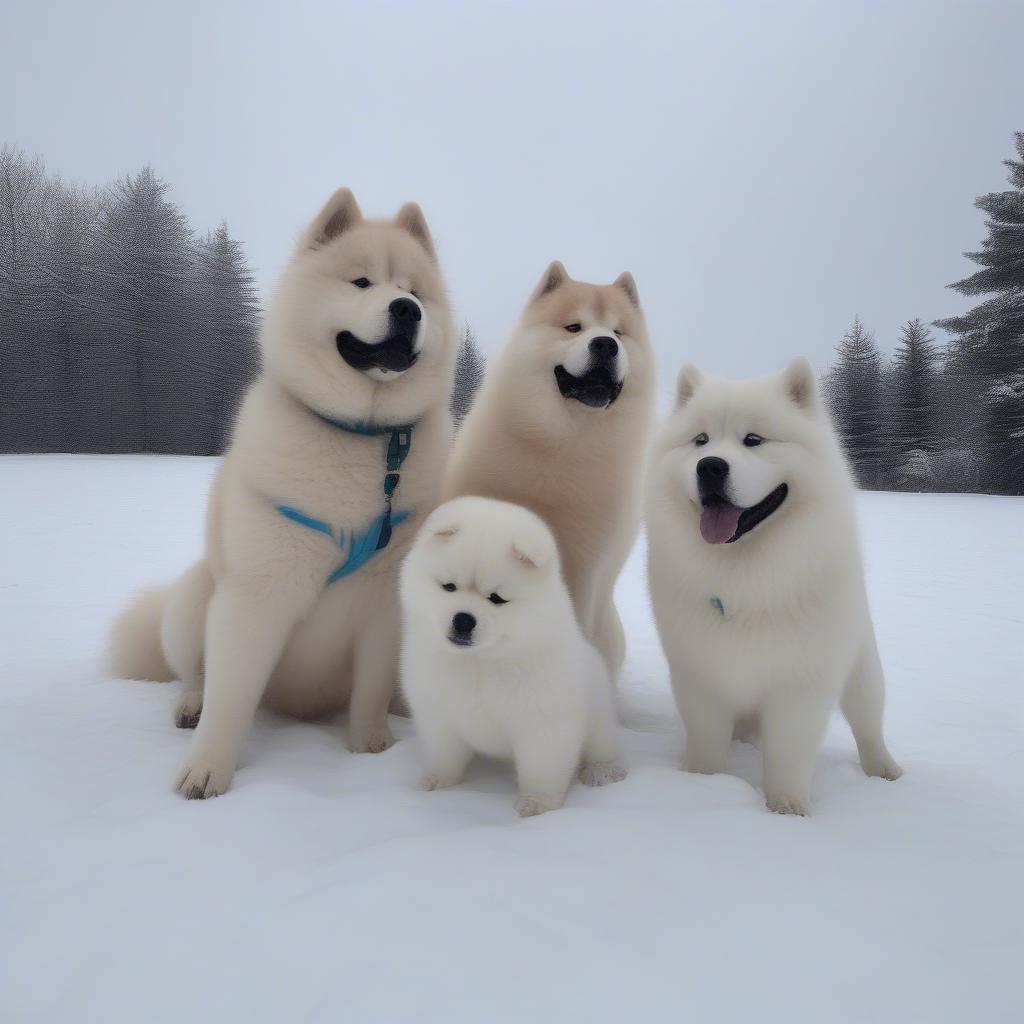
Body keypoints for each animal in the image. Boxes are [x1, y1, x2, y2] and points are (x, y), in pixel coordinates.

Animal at [397, 495, 622, 815]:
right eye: (448, 586)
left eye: (497, 598)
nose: (463, 620)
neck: (479, 662)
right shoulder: (437, 714)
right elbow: (443, 756)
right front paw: (436, 784)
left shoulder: (543, 723)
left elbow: (542, 769)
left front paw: (537, 806)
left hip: (599, 715)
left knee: (602, 747)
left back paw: (602, 771)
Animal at [643, 360, 901, 815]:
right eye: (700, 440)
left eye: (754, 440)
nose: (710, 466)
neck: (745, 573)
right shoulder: (699, 677)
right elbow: (706, 743)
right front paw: (701, 786)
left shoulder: (800, 683)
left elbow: (788, 755)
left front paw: (787, 810)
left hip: (863, 674)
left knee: (869, 726)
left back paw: (883, 770)